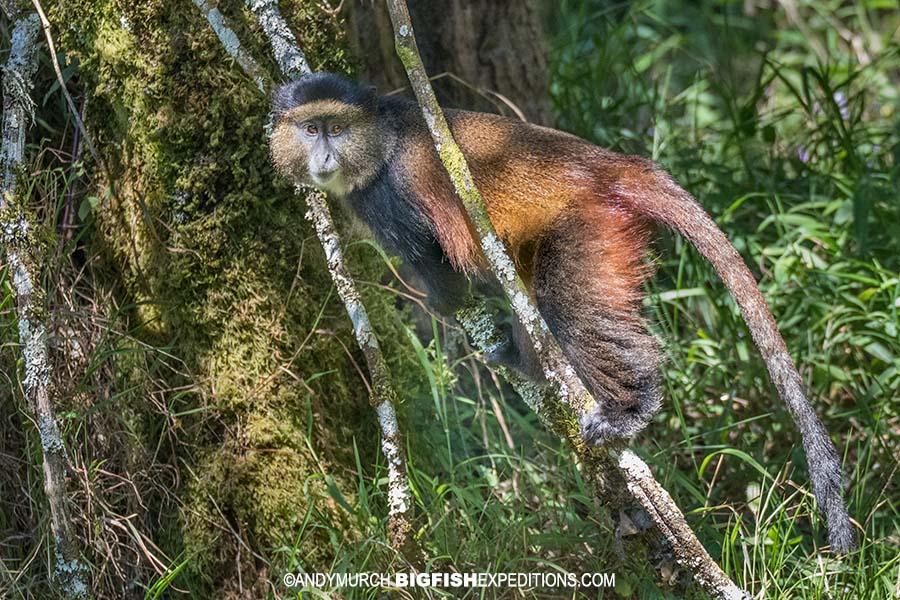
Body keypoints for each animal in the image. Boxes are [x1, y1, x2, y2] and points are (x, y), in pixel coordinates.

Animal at [268, 72, 855, 553]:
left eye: (336, 129)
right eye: (311, 129)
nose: (324, 156)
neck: (380, 137)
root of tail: (608, 165)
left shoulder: (389, 201)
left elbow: (436, 266)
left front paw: (448, 304)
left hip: (586, 229)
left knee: (569, 308)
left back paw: (630, 406)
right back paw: (525, 359)